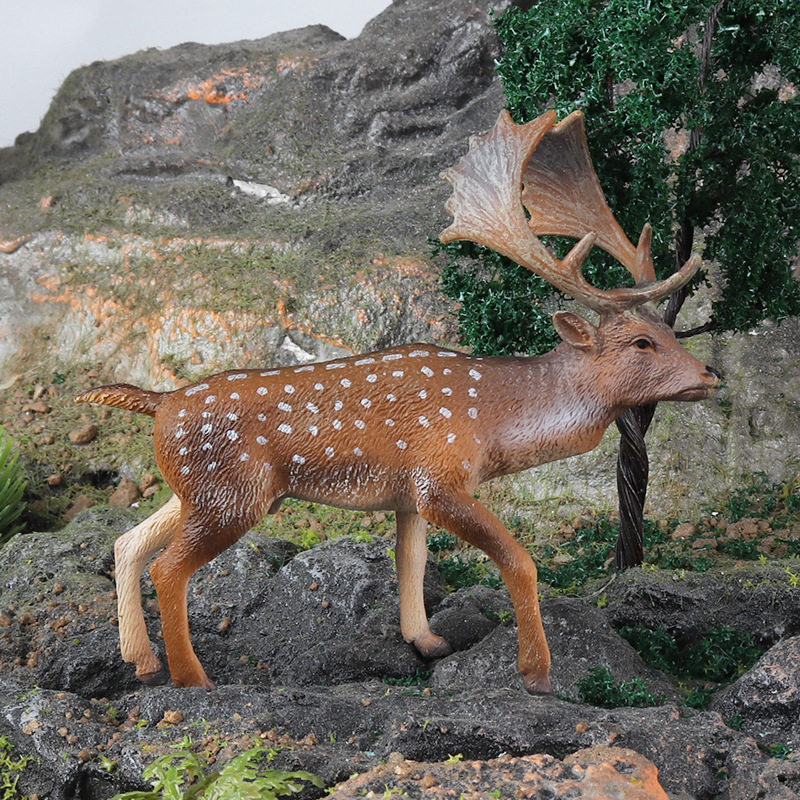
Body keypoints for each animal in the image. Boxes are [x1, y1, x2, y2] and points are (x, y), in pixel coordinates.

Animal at [76, 108, 720, 693]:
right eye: (641, 342)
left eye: (667, 332)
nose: (711, 375)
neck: (494, 420)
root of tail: (159, 402)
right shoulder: (440, 477)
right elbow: (519, 559)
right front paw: (536, 672)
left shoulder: (407, 493)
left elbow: (411, 561)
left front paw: (426, 641)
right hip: (230, 493)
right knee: (167, 567)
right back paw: (191, 678)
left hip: (199, 489)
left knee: (128, 542)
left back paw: (141, 661)